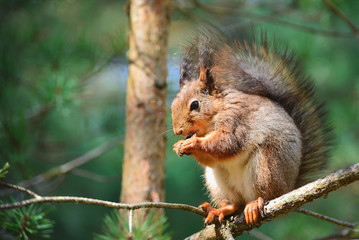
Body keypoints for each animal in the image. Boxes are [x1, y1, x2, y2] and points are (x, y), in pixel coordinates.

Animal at [172, 31, 332, 225]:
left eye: (194, 105)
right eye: (172, 105)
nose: (178, 131)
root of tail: (290, 187)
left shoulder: (237, 119)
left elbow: (228, 143)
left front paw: (193, 143)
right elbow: (211, 158)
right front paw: (178, 146)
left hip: (267, 167)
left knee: (268, 195)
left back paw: (256, 204)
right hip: (218, 182)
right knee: (235, 203)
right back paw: (221, 210)